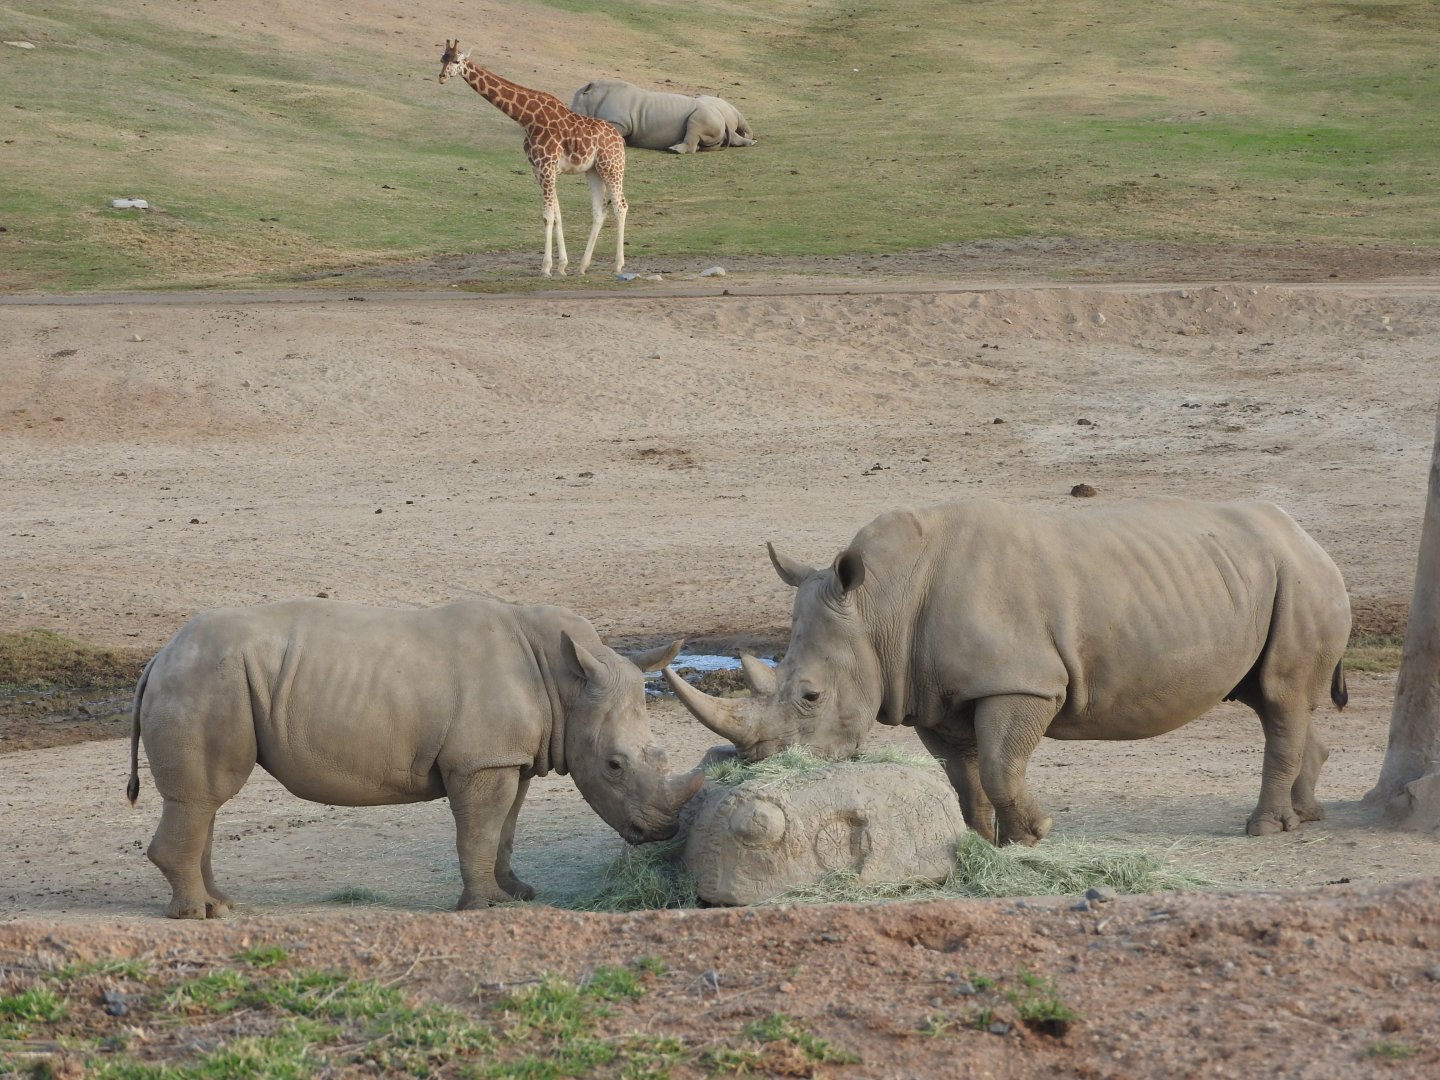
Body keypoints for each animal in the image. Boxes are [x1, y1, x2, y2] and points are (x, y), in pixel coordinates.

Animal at [127, 598, 703, 918]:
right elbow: (480, 830)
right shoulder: (481, 761)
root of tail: (159, 656)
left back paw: (221, 905)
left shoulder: (507, 757)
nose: (662, 831)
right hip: (204, 681)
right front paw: (483, 907)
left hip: (210, 678)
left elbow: (505, 828)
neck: (565, 682)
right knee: (202, 797)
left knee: (205, 804)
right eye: (613, 766)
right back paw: (198, 916)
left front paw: (517, 894)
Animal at [569, 79, 755, 153]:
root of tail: (722, 120)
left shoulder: (620, 122)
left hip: (706, 114)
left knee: (695, 124)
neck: (593, 98)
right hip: (716, 117)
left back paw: (674, 150)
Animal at [667, 498, 1352, 846]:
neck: (878, 605)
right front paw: (978, 842)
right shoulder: (932, 693)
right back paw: (1308, 816)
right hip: (1260, 576)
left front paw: (1033, 833)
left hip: (1301, 577)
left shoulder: (1020, 681)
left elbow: (1000, 764)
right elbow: (962, 774)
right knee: (1270, 697)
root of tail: (1310, 537)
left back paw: (1264, 829)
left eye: (809, 696)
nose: (763, 767)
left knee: (1280, 698)